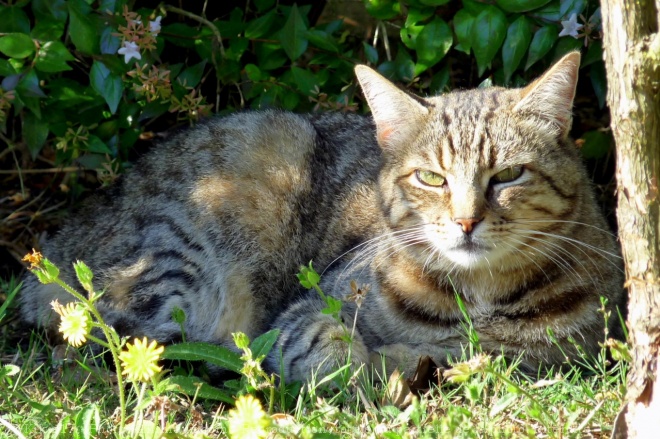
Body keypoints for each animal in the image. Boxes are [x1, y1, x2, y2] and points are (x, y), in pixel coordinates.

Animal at [19, 50, 624, 382]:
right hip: (193, 250)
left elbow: (495, 356)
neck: (475, 295)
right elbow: (327, 348)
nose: (466, 221)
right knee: (125, 339)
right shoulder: (304, 311)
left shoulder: (569, 350)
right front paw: (379, 367)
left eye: (507, 176)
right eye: (431, 179)